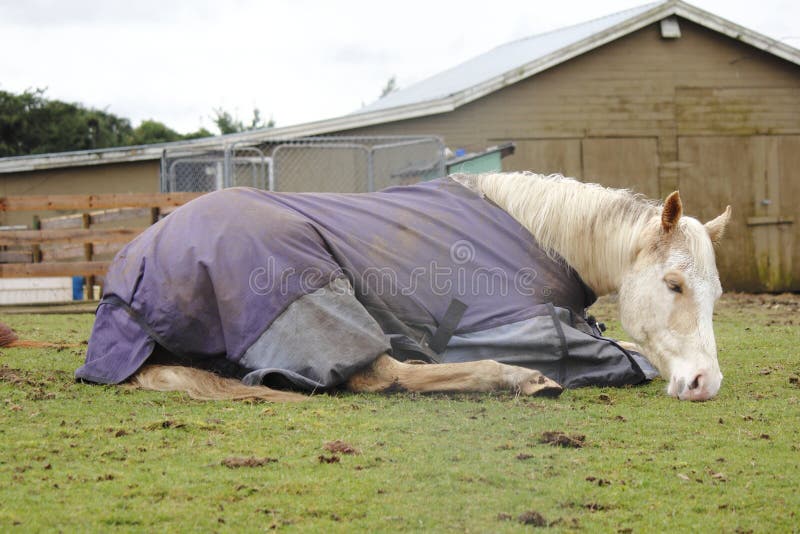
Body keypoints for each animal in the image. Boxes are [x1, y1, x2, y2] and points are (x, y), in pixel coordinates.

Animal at [73, 172, 730, 402]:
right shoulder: (507, 325)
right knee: (380, 371)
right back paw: (518, 379)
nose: (705, 383)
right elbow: (621, 355)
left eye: (716, 295)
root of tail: (132, 269)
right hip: (313, 293)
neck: (543, 236)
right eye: (674, 284)